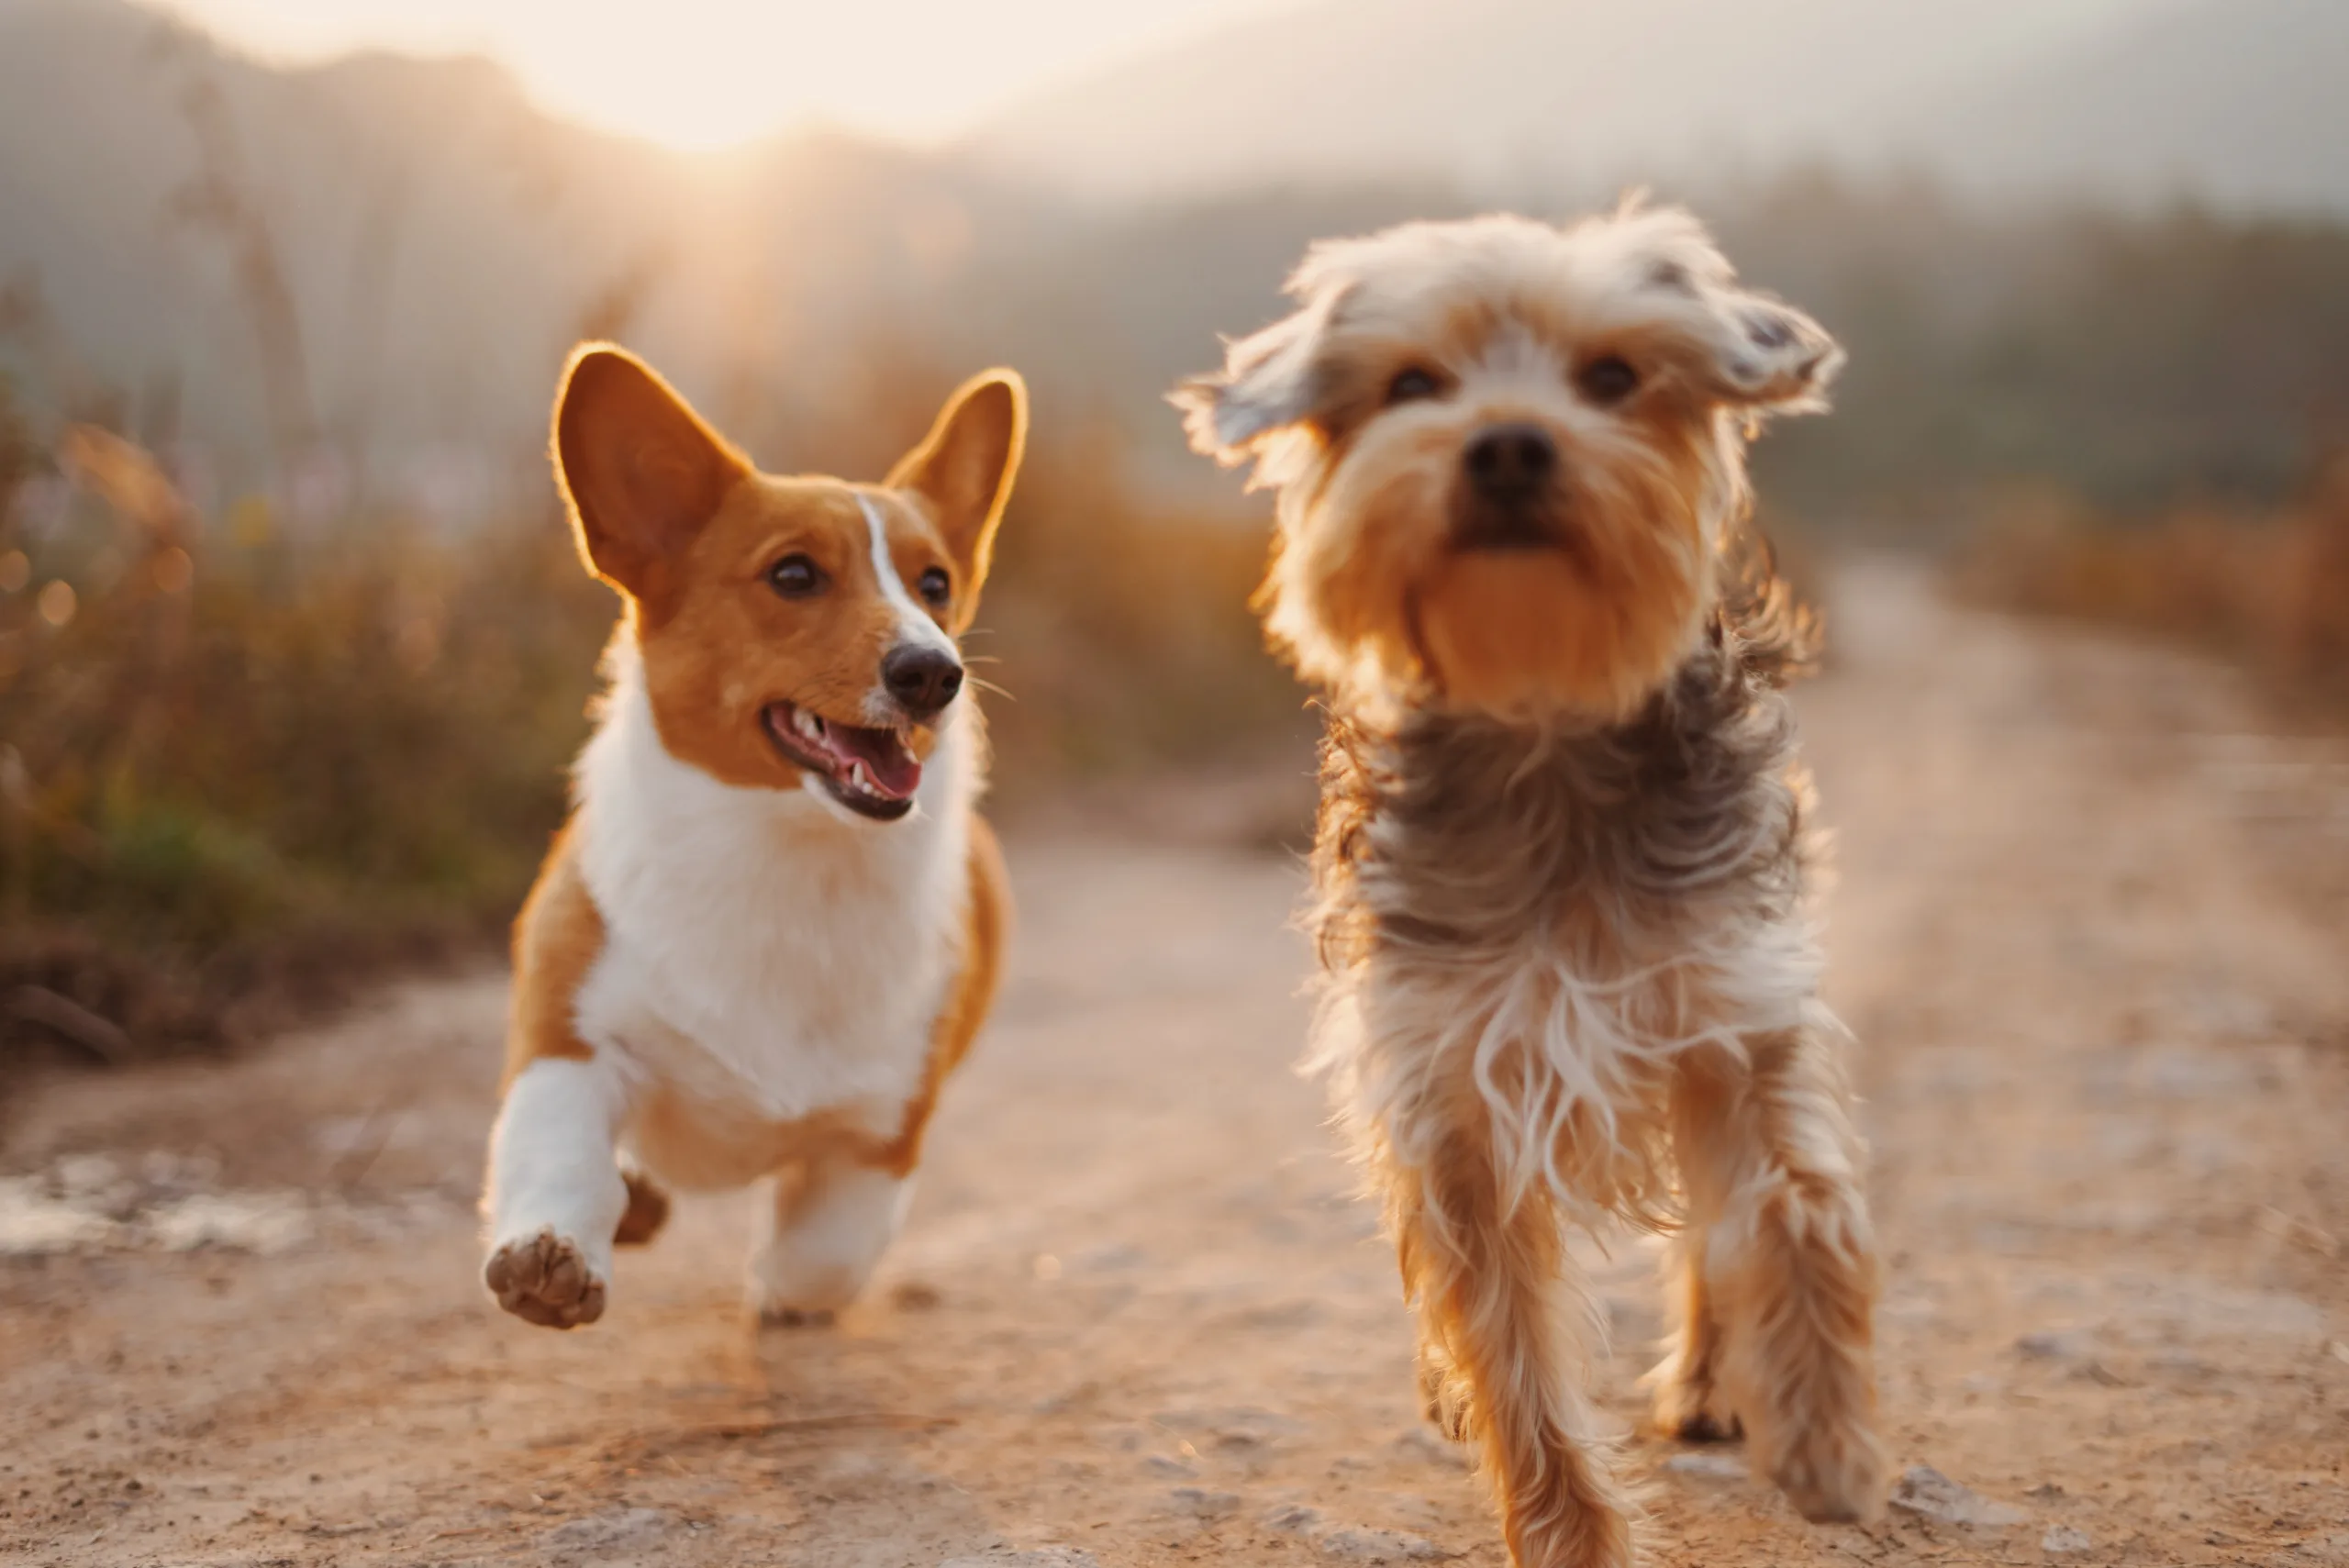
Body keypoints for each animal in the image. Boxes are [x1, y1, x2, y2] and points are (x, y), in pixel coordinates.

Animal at [1174, 202, 1888, 1558]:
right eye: (1412, 385)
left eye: (1612, 376)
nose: (1507, 443)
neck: (1543, 721)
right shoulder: (1447, 1084)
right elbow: (1509, 1346)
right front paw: (1569, 1532)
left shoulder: (1731, 1006)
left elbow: (1795, 1203)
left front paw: (1822, 1427)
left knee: (1710, 1234)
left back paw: (1715, 1381)